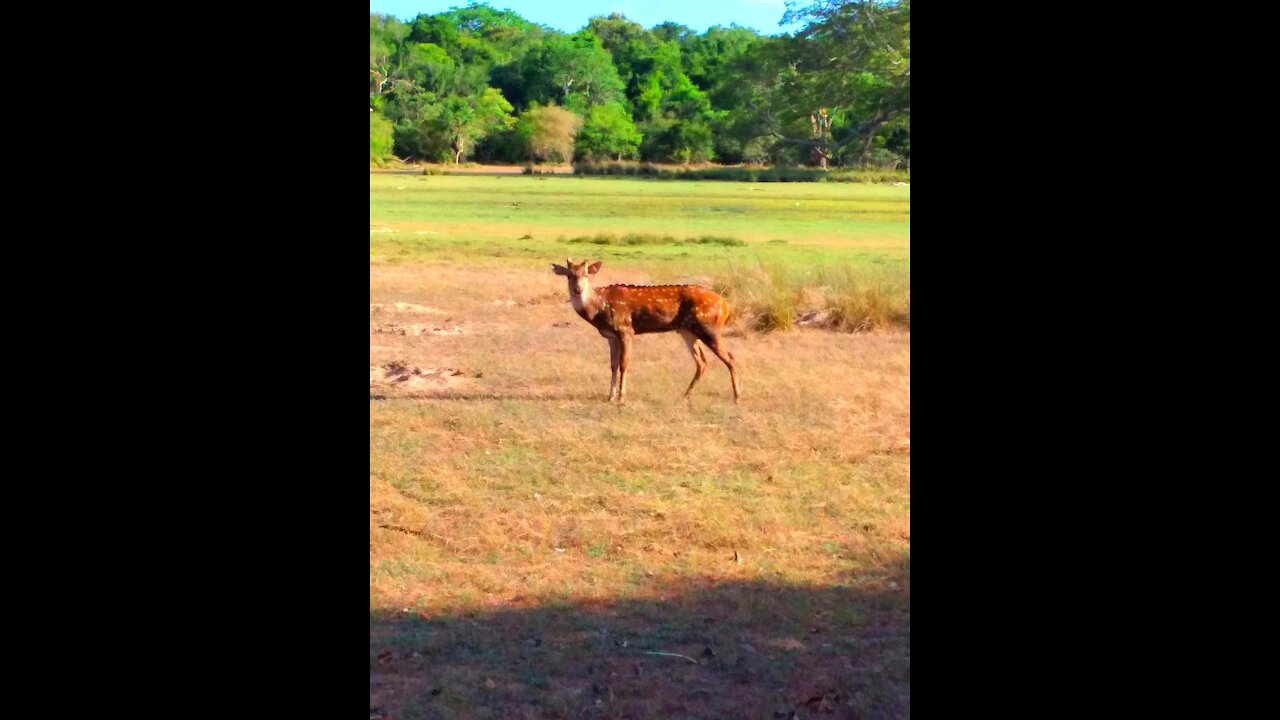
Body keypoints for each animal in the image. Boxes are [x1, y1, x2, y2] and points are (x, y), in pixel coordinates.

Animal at [547, 257, 742, 404]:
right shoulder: (611, 336)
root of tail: (725, 304)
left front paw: (621, 397)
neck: (599, 308)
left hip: (709, 328)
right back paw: (685, 395)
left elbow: (624, 363)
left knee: (730, 358)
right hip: (688, 331)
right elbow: (613, 365)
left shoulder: (626, 330)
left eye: (586, 274)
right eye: (569, 275)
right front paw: (610, 396)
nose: (578, 289)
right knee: (702, 362)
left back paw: (737, 397)